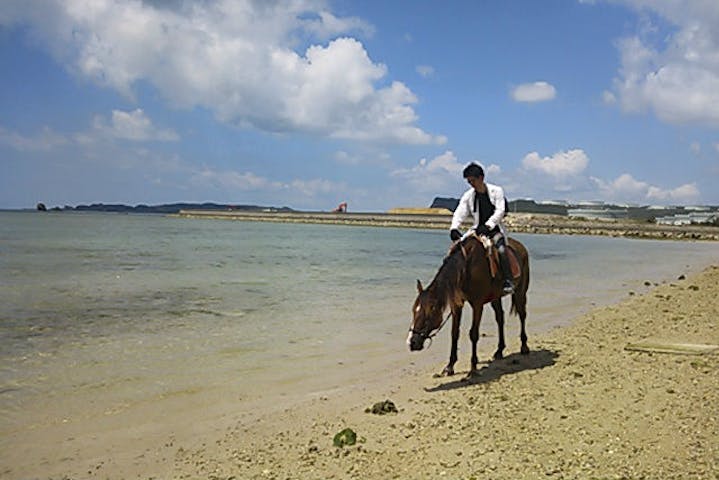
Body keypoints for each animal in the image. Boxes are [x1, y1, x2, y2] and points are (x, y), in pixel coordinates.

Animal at [408, 234, 532, 376]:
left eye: (430, 310)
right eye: (414, 310)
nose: (412, 342)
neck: (466, 268)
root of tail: (521, 247)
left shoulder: (477, 305)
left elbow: (474, 334)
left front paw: (473, 367)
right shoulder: (456, 305)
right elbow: (454, 333)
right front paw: (450, 366)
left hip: (520, 292)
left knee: (522, 315)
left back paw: (524, 346)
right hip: (495, 298)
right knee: (500, 318)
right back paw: (499, 350)